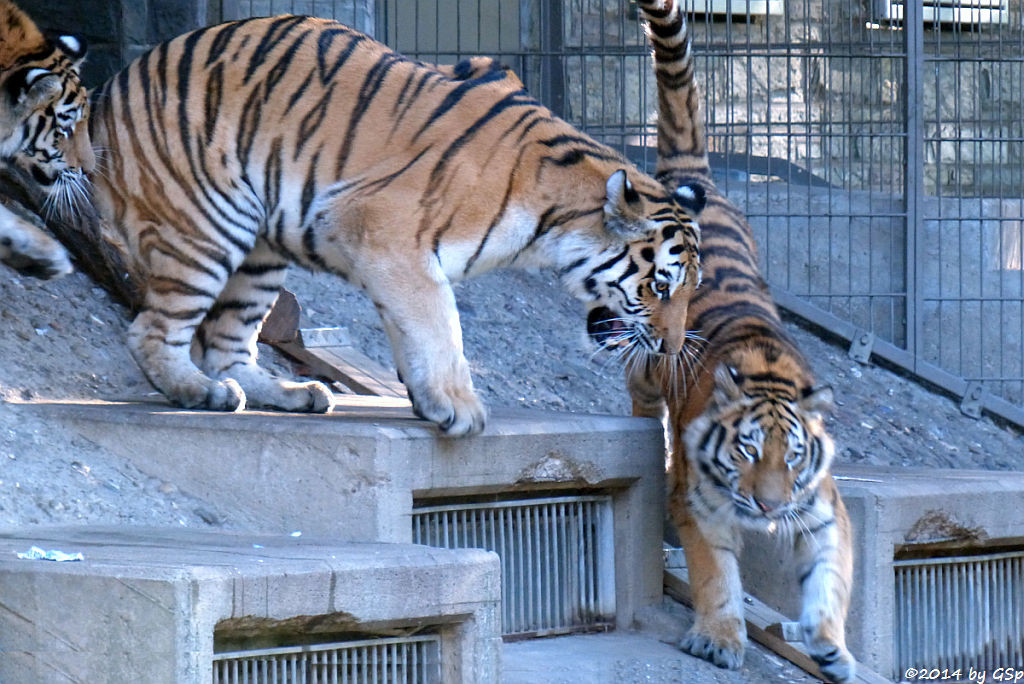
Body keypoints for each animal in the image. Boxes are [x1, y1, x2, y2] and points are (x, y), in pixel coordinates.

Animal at [630, 2, 856, 679]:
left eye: (794, 458)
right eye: (748, 451)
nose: (767, 509)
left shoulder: (824, 510)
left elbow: (831, 579)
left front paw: (829, 645)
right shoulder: (701, 507)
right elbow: (717, 576)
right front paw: (720, 639)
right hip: (649, 359)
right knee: (639, 393)